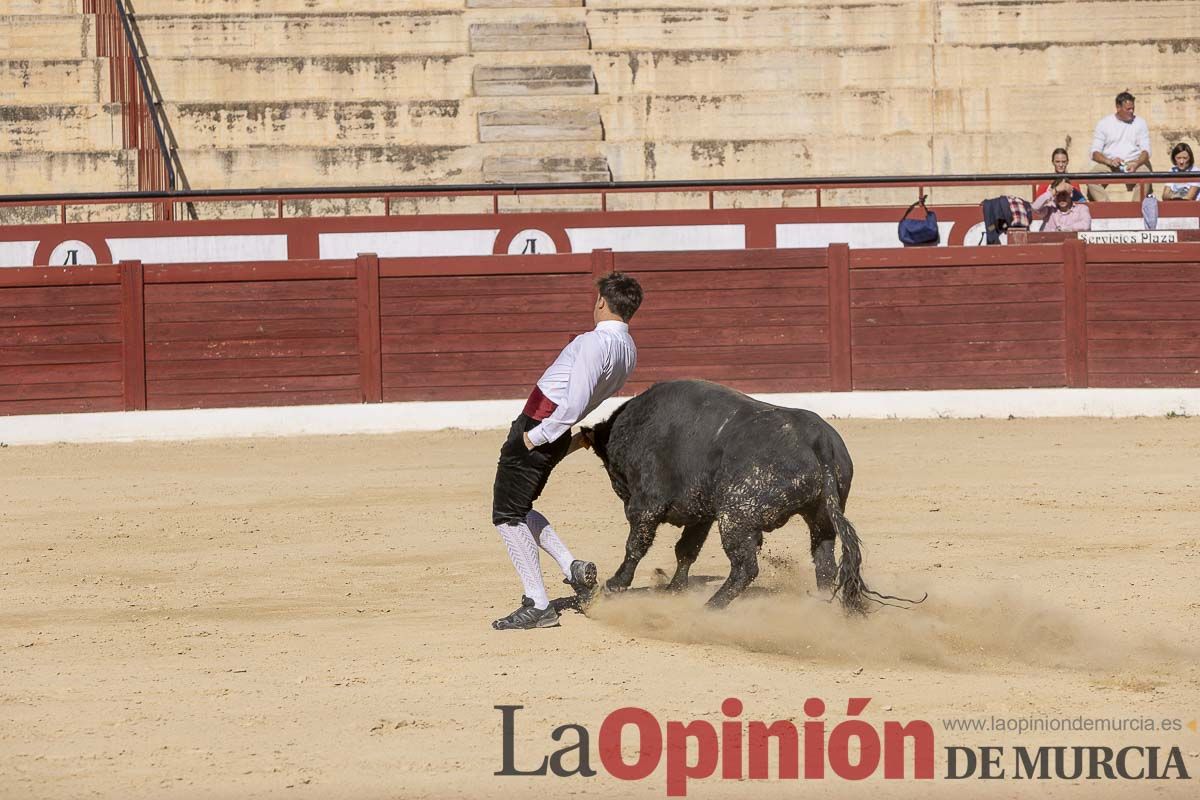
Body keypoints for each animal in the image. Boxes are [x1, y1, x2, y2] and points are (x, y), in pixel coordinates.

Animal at [580, 381, 864, 614]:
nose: (619, 490)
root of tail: (818, 440)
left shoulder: (647, 505)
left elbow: (636, 545)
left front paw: (615, 585)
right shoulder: (701, 514)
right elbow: (686, 550)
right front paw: (674, 589)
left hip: (735, 516)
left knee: (746, 567)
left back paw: (711, 606)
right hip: (820, 516)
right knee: (824, 563)